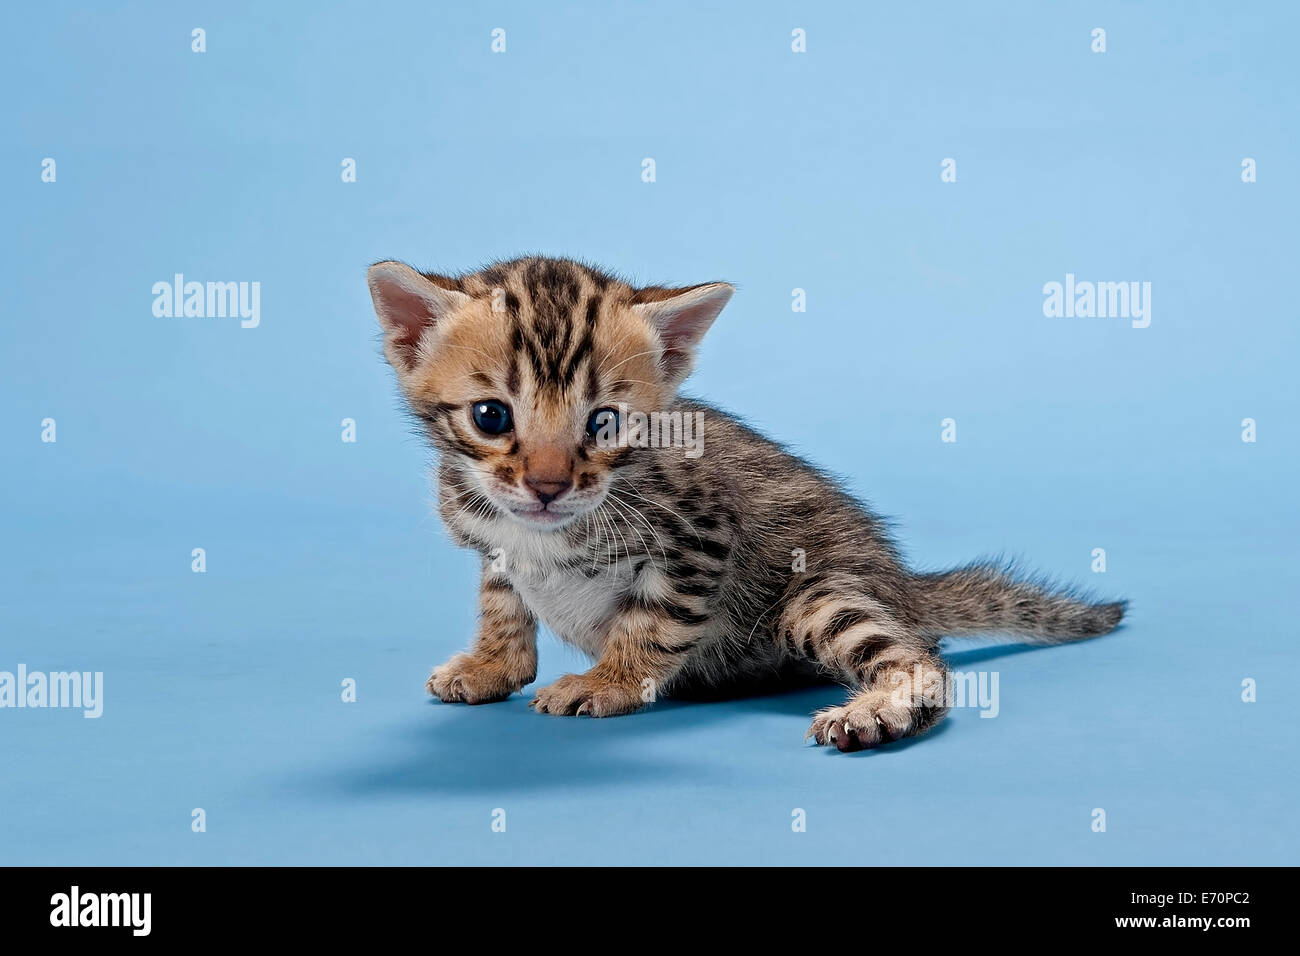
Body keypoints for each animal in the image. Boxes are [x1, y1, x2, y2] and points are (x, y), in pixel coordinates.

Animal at [364, 257, 1118, 749]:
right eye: (491, 416)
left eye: (604, 423)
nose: (547, 486)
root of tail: (902, 582)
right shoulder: (491, 536)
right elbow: (501, 602)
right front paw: (494, 664)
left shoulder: (699, 533)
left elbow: (653, 623)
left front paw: (610, 681)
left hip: (815, 594)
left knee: (919, 655)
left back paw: (880, 711)